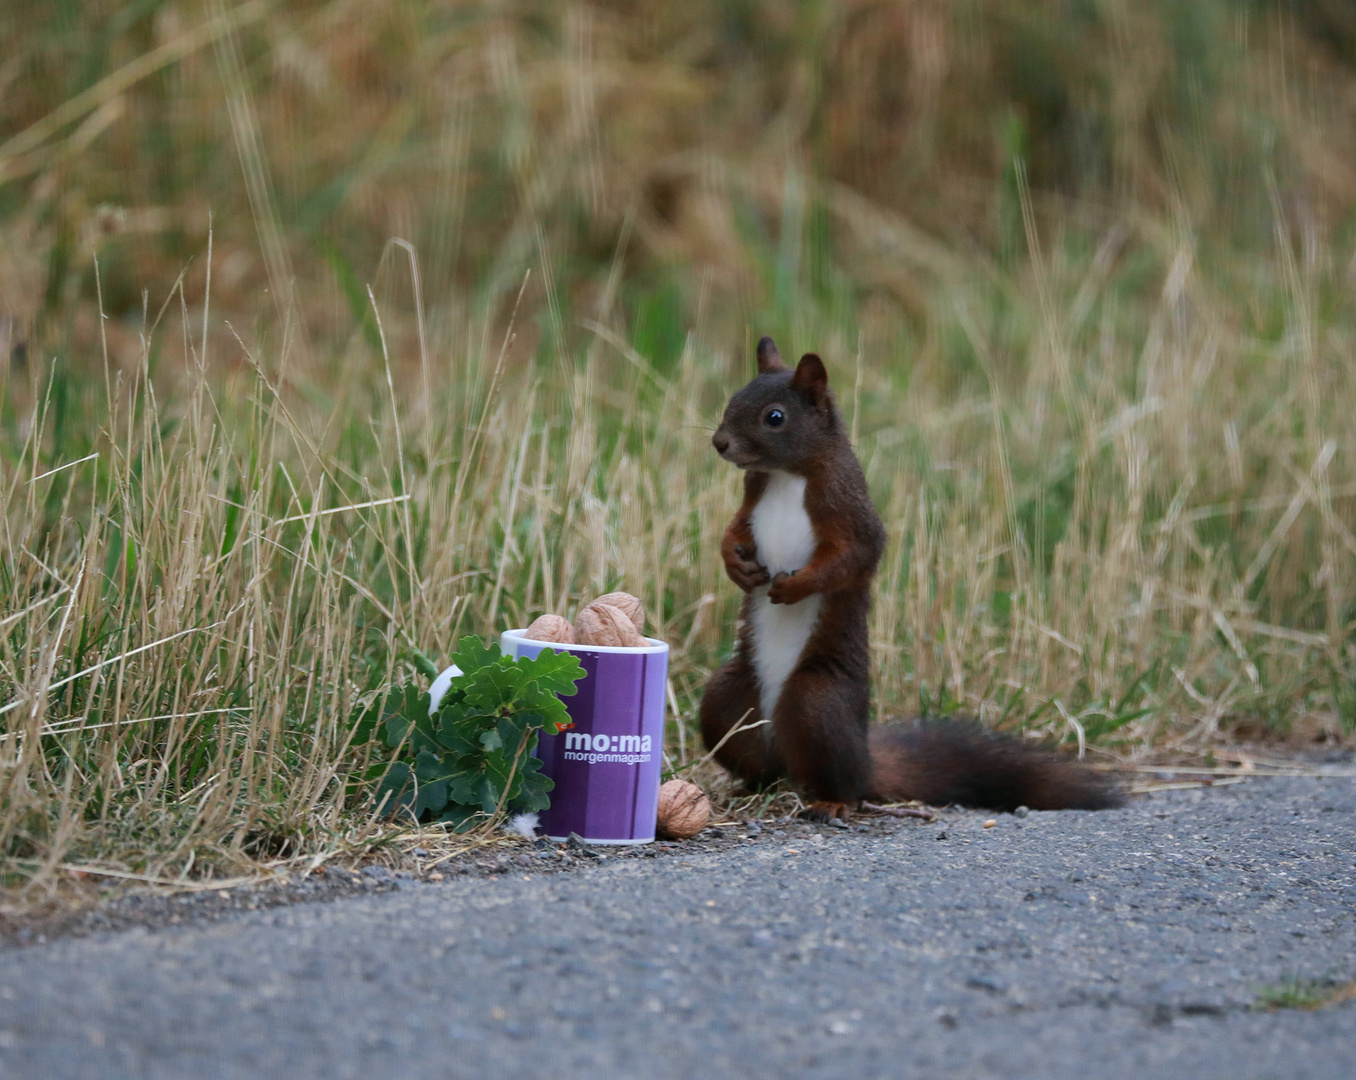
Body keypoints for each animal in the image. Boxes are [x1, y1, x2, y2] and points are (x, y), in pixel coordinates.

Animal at [699, 337, 1122, 819]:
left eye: (775, 417)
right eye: (732, 399)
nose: (719, 442)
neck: (786, 476)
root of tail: (864, 759)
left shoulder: (850, 513)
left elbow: (849, 559)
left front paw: (794, 586)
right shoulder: (753, 498)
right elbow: (734, 530)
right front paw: (735, 564)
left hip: (817, 704)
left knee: (842, 779)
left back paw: (832, 801)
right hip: (726, 698)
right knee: (760, 762)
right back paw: (745, 789)